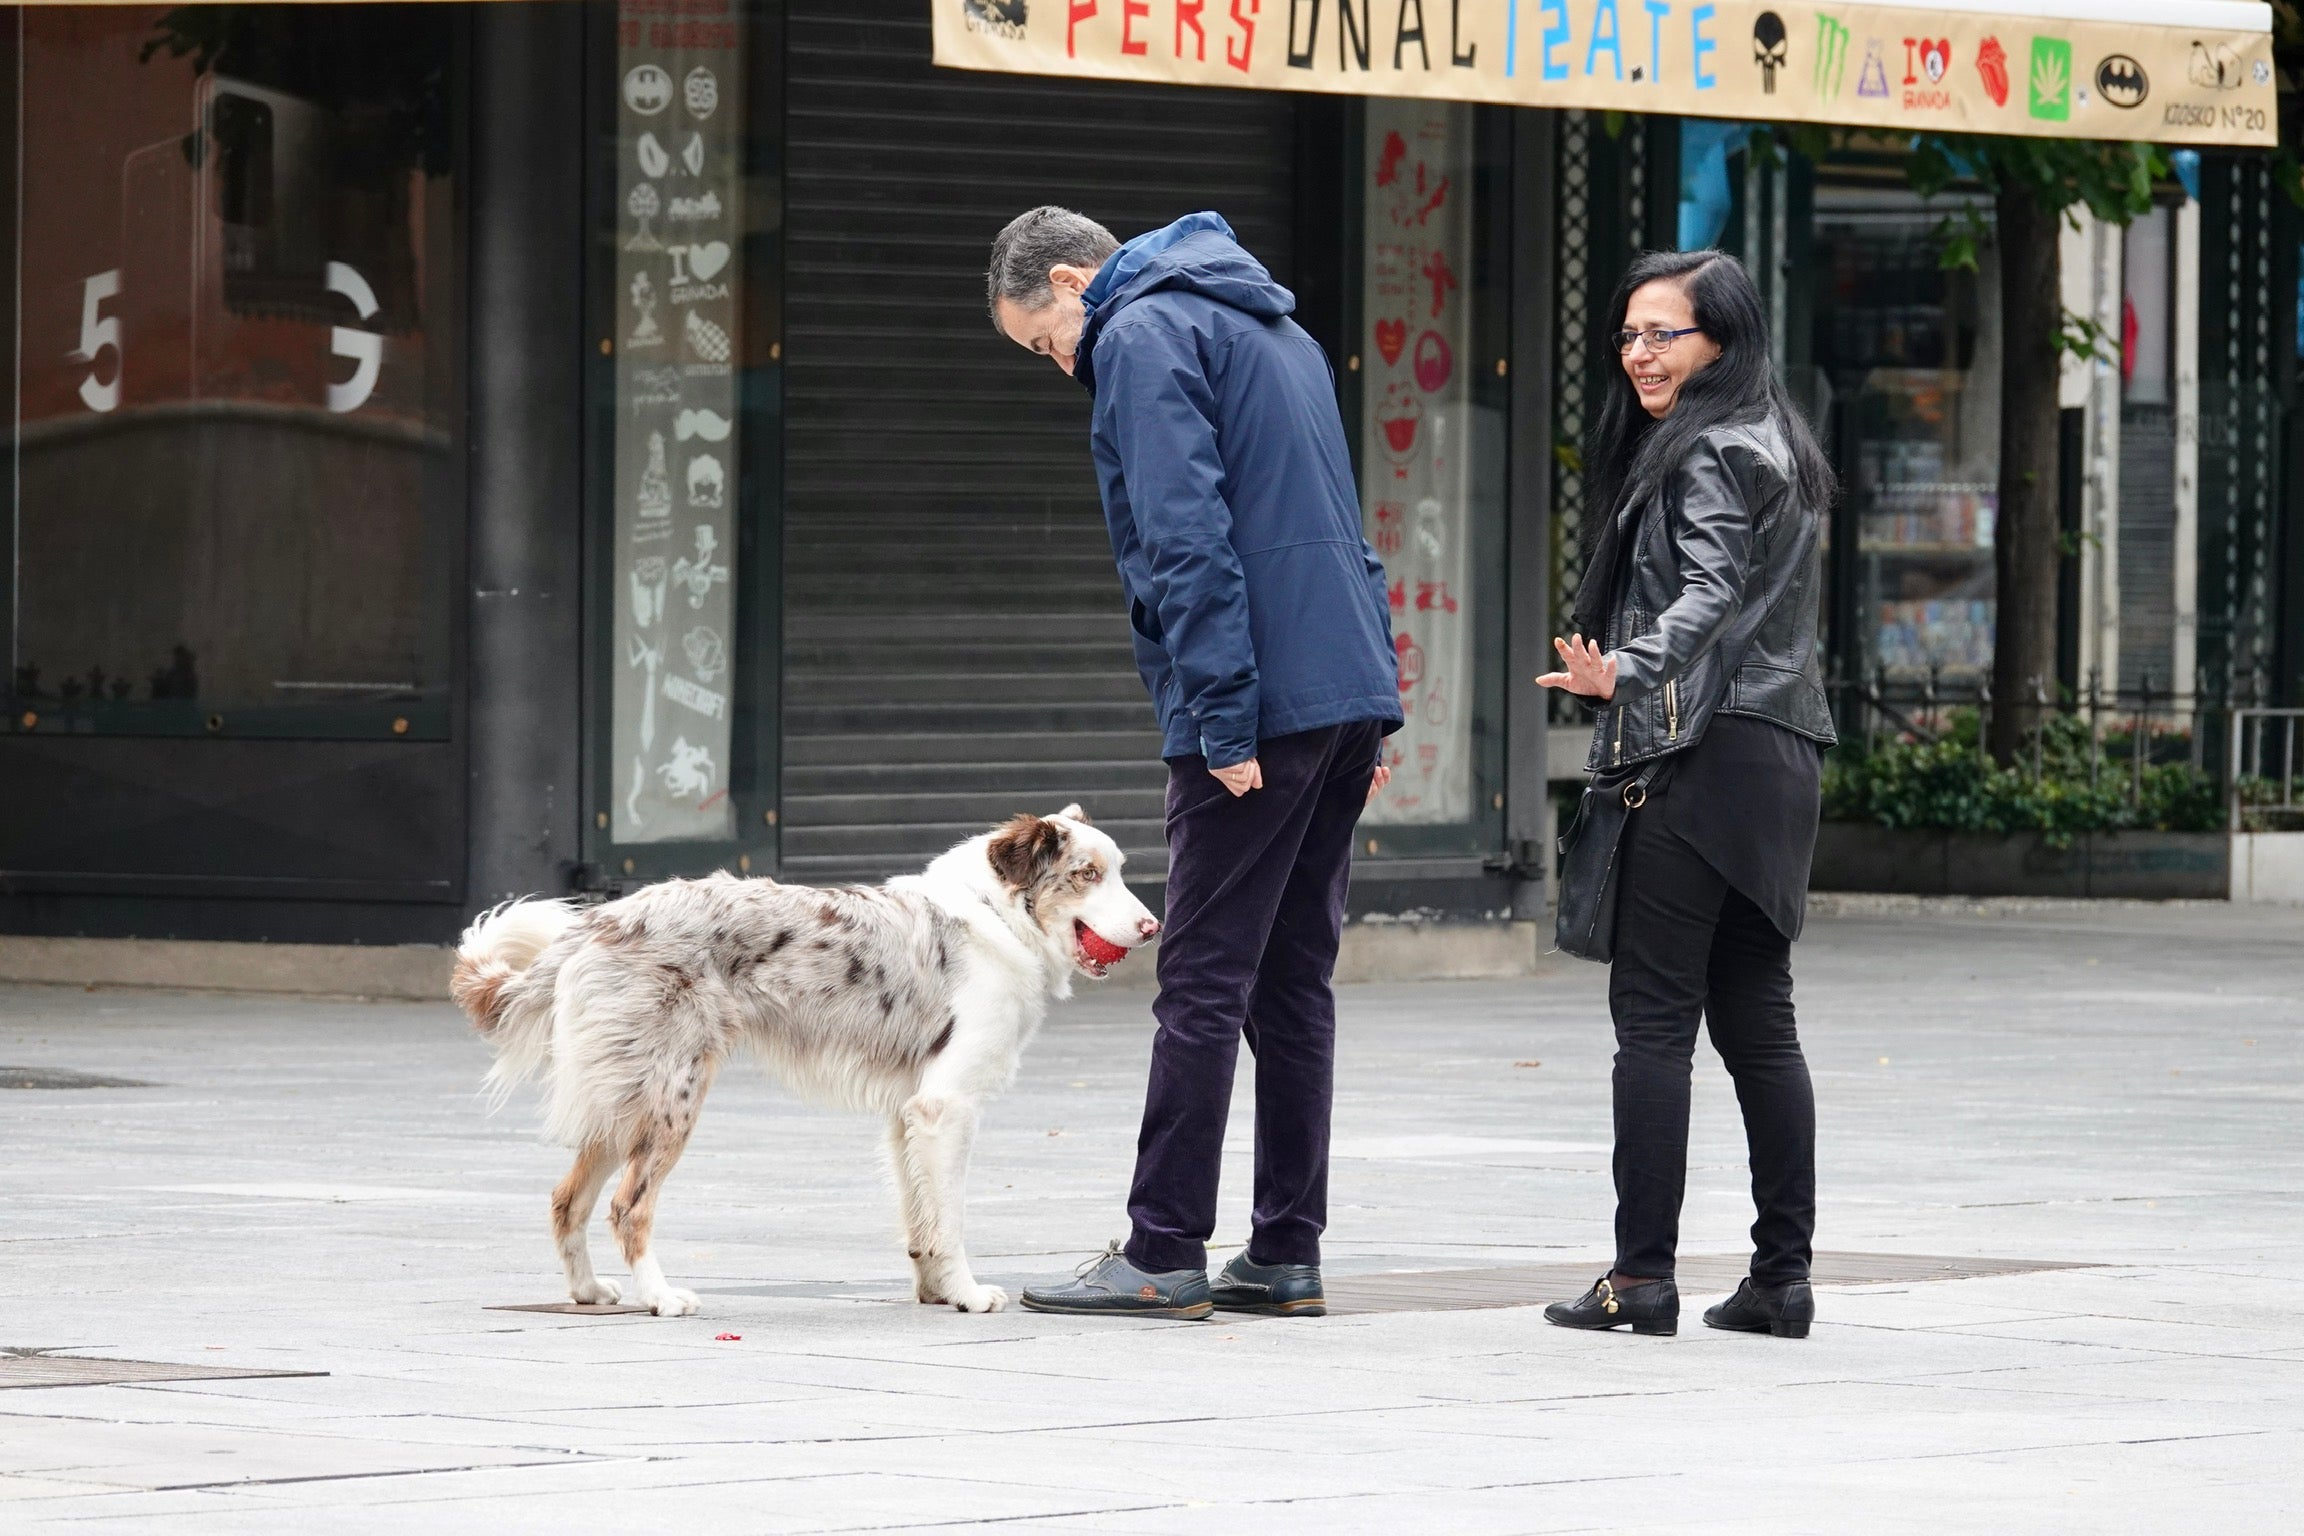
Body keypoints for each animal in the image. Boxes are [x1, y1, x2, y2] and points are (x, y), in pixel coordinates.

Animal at [456, 805, 1161, 1326]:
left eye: (1120, 872)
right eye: (1087, 873)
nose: (1154, 927)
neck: (997, 917)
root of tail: (603, 919)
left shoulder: (908, 1113)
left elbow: (921, 1217)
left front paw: (935, 1292)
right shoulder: (947, 1108)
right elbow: (952, 1217)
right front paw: (966, 1294)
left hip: (622, 1099)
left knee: (566, 1199)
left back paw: (588, 1292)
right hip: (673, 1097)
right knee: (627, 1206)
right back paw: (659, 1298)